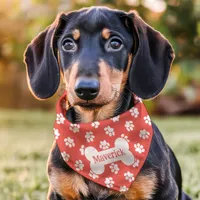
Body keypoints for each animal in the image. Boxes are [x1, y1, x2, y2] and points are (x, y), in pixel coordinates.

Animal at [23, 6, 191, 200]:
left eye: (115, 43)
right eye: (67, 44)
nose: (86, 89)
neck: (97, 130)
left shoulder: (164, 192)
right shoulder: (60, 190)